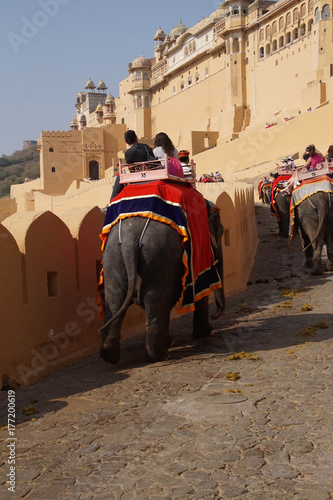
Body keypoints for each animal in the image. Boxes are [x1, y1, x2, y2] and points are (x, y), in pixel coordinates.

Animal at [98, 206, 223, 364]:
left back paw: (110, 356)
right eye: (221, 232)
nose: (214, 315)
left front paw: (171, 342)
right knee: (156, 301)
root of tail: (129, 240)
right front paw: (208, 332)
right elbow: (199, 289)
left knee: (115, 301)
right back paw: (161, 356)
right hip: (157, 257)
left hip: (112, 257)